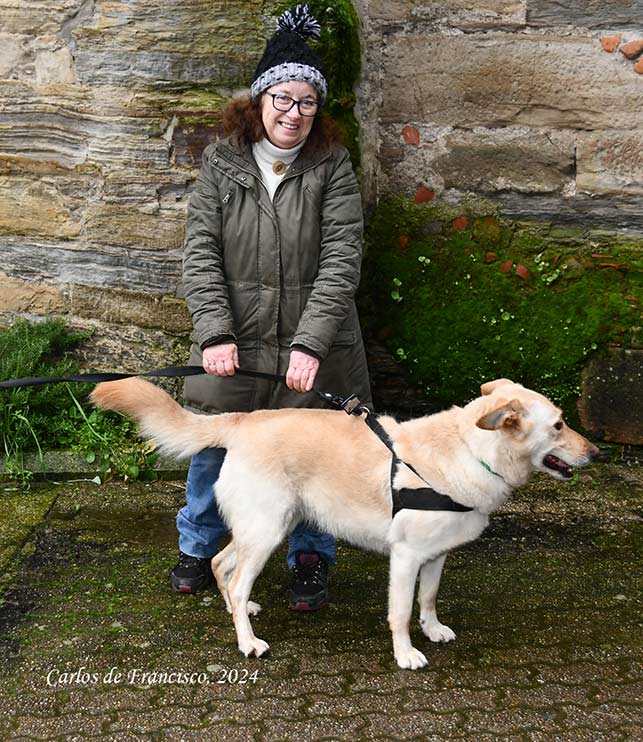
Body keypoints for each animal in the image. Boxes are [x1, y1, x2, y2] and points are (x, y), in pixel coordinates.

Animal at [90, 380, 600, 672]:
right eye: (558, 425)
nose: (596, 452)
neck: (472, 450)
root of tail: (242, 421)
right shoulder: (406, 558)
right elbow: (400, 612)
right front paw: (406, 653)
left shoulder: (436, 555)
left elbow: (429, 599)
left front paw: (433, 629)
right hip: (268, 530)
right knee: (233, 577)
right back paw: (247, 641)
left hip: (270, 526)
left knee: (221, 564)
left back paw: (242, 610)